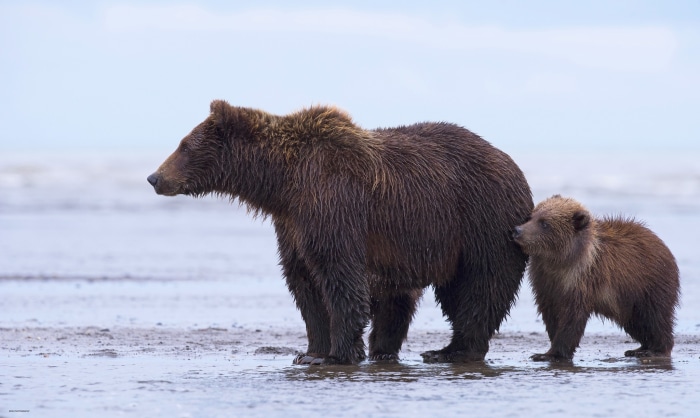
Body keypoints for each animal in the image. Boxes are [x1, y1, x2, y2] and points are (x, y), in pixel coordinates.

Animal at [147, 100, 533, 365]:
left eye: (184, 145)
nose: (154, 177)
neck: (282, 184)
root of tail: (515, 166)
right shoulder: (293, 224)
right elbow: (304, 283)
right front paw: (310, 351)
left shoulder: (332, 205)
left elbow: (338, 276)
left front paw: (337, 353)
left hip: (479, 221)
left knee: (479, 286)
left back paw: (454, 350)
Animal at [511, 195, 680, 362]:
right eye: (531, 217)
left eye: (545, 223)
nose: (517, 230)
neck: (560, 261)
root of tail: (664, 246)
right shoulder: (545, 281)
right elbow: (551, 313)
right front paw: (549, 348)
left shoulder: (582, 281)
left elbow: (571, 317)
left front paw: (551, 353)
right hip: (626, 300)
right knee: (635, 323)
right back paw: (638, 348)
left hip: (647, 285)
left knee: (653, 318)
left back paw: (655, 350)